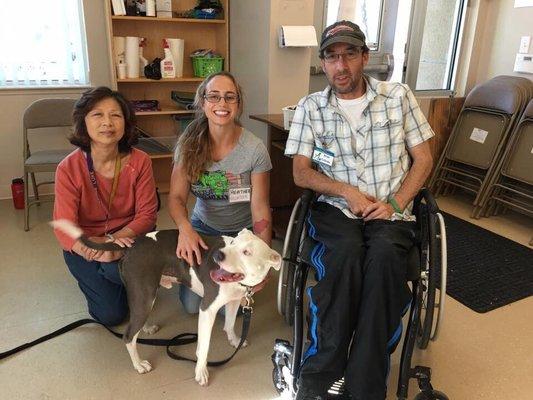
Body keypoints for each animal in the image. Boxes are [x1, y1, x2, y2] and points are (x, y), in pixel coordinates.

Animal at [51, 220, 280, 386]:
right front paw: (201, 371)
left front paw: (235, 340)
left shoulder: (233, 300)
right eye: (232, 244)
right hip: (145, 294)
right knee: (128, 336)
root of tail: (133, 245)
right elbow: (204, 346)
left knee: (136, 320)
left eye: (247, 252)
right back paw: (138, 365)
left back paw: (147, 328)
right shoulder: (207, 309)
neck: (241, 283)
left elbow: (230, 324)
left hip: (143, 296)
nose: (217, 255)